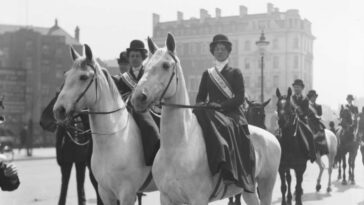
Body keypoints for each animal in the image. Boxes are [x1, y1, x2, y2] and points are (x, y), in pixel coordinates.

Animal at [53, 45, 156, 205]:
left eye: (83, 77)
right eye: (66, 75)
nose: (58, 110)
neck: (113, 139)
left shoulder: (127, 193)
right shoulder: (105, 192)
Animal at [131, 34, 282, 205]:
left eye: (165, 65)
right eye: (146, 66)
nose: (138, 98)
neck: (176, 147)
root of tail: (271, 136)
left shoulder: (198, 198)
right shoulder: (167, 197)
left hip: (266, 184)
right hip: (248, 188)